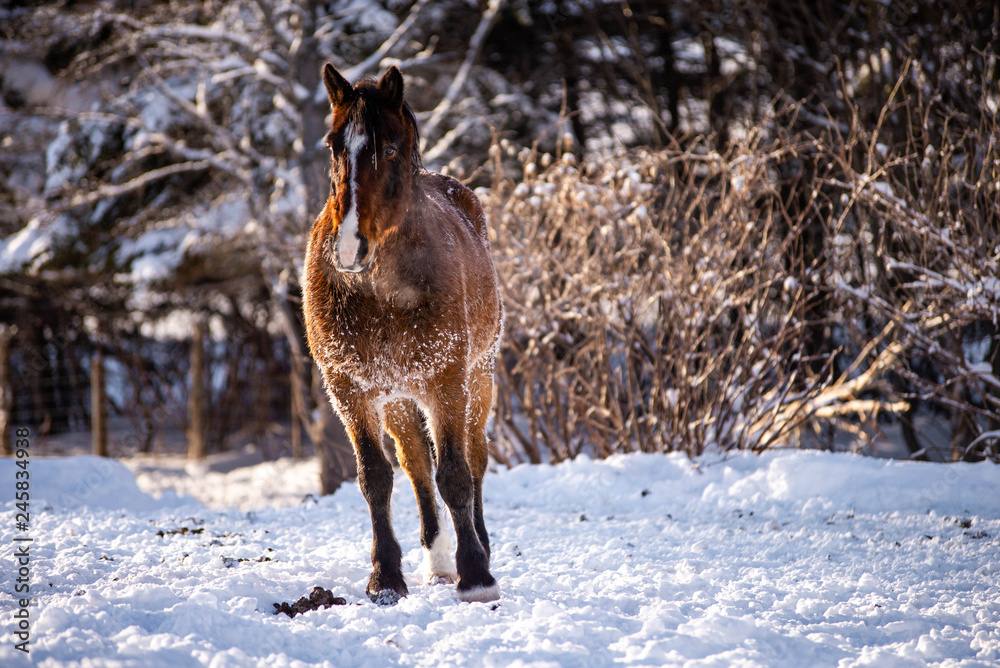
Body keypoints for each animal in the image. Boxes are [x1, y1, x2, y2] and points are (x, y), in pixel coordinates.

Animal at [302, 63, 503, 604]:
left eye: (389, 149)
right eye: (333, 145)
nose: (349, 248)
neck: (381, 290)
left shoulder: (446, 381)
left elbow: (455, 474)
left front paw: (476, 575)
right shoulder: (350, 389)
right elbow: (377, 478)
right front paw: (386, 578)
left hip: (478, 380)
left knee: (475, 460)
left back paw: (478, 548)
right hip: (396, 398)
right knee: (415, 466)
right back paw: (436, 560)